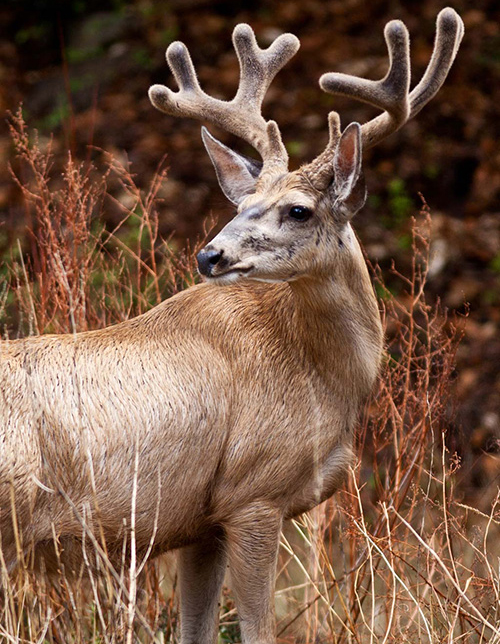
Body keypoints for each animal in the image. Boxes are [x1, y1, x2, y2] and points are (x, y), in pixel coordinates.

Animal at [0, 8, 462, 644]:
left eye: (298, 209)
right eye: (241, 205)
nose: (210, 255)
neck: (322, 377)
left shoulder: (201, 523)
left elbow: (193, 629)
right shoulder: (253, 494)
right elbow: (256, 630)